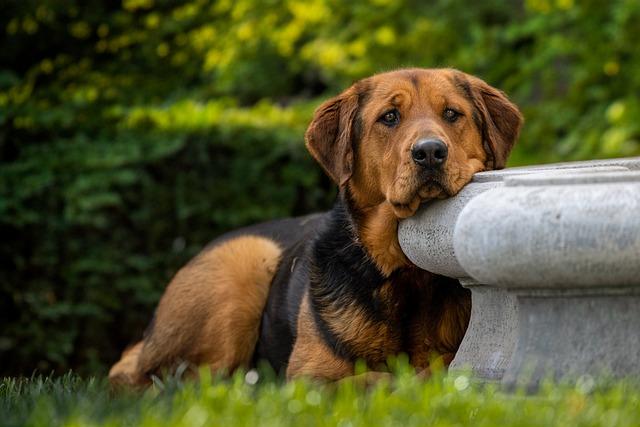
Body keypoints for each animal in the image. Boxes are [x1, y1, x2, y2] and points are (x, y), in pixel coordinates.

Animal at [109, 68, 520, 386]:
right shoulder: (309, 378)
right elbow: (375, 378)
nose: (430, 152)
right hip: (242, 266)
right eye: (389, 117)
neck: (405, 275)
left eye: (452, 114)